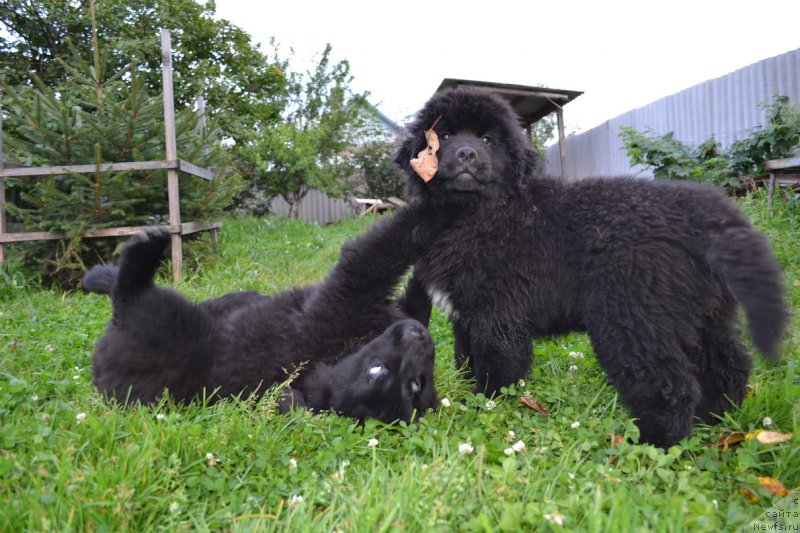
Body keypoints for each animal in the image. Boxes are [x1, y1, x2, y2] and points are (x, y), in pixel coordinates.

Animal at [84, 205, 446, 424]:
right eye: (376, 369)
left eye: (416, 384)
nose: (420, 337)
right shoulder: (359, 287)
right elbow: (404, 254)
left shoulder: (354, 290)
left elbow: (401, 242)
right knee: (124, 287)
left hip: (161, 317)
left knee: (128, 289)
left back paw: (143, 252)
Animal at [396, 86, 788, 444]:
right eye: (445, 135)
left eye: (487, 139)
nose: (467, 153)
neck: (476, 212)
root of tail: (708, 213)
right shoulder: (466, 313)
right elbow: (466, 358)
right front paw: (466, 397)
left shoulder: (497, 313)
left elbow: (496, 367)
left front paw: (485, 405)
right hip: (703, 313)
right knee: (729, 364)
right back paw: (715, 418)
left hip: (633, 317)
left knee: (670, 385)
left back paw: (654, 443)